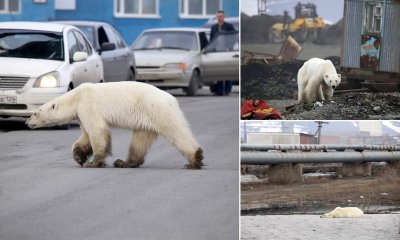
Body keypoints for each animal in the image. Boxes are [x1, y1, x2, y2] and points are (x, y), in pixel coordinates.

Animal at [25, 82, 203, 169]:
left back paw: (195, 159)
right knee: (140, 139)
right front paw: (79, 157)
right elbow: (85, 136)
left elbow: (97, 131)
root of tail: (172, 99)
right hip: (146, 119)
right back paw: (124, 162)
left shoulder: (88, 105)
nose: (27, 123)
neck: (76, 97)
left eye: (35, 113)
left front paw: (93, 163)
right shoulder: (82, 114)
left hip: (158, 110)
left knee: (176, 131)